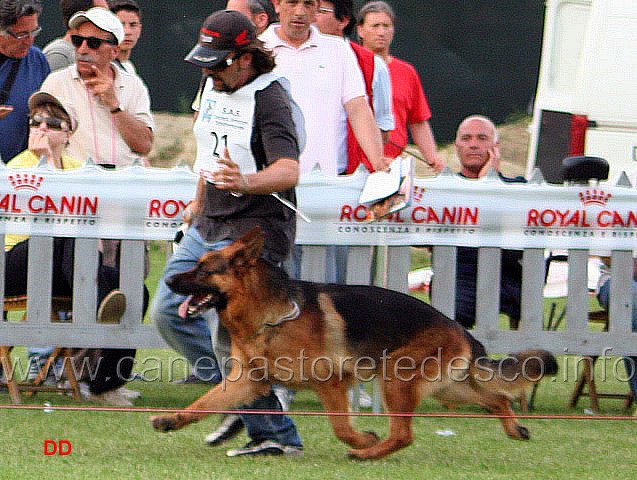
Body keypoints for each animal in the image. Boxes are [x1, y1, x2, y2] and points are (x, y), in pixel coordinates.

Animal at [153, 229, 536, 462]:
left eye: (203, 271)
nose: (168, 281)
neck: (270, 315)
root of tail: (459, 328)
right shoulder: (246, 381)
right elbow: (203, 403)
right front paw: (172, 419)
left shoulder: (332, 383)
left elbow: (341, 427)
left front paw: (363, 440)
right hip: (446, 389)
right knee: (497, 398)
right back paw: (515, 428)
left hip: (397, 383)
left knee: (404, 435)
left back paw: (366, 454)